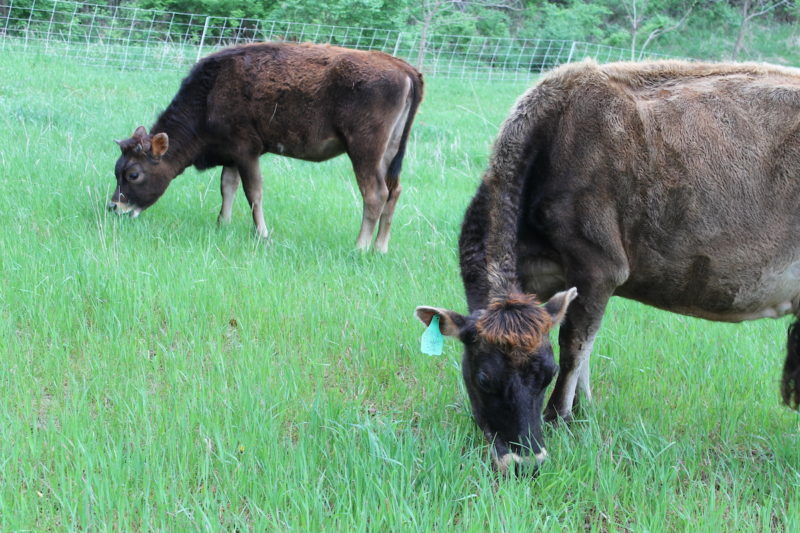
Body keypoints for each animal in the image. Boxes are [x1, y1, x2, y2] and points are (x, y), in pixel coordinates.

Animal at [109, 42, 423, 253]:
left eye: (134, 174)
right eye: (117, 169)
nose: (114, 206)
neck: (211, 93)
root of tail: (404, 69)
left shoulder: (247, 151)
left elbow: (253, 193)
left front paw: (261, 233)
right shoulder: (231, 155)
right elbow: (228, 187)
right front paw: (222, 224)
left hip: (364, 151)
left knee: (375, 194)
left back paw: (359, 247)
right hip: (390, 153)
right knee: (394, 192)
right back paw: (380, 248)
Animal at [416, 59, 800, 474]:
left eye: (547, 374)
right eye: (484, 378)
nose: (526, 460)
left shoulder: (599, 265)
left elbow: (574, 343)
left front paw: (560, 417)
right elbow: (585, 342)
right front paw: (583, 410)